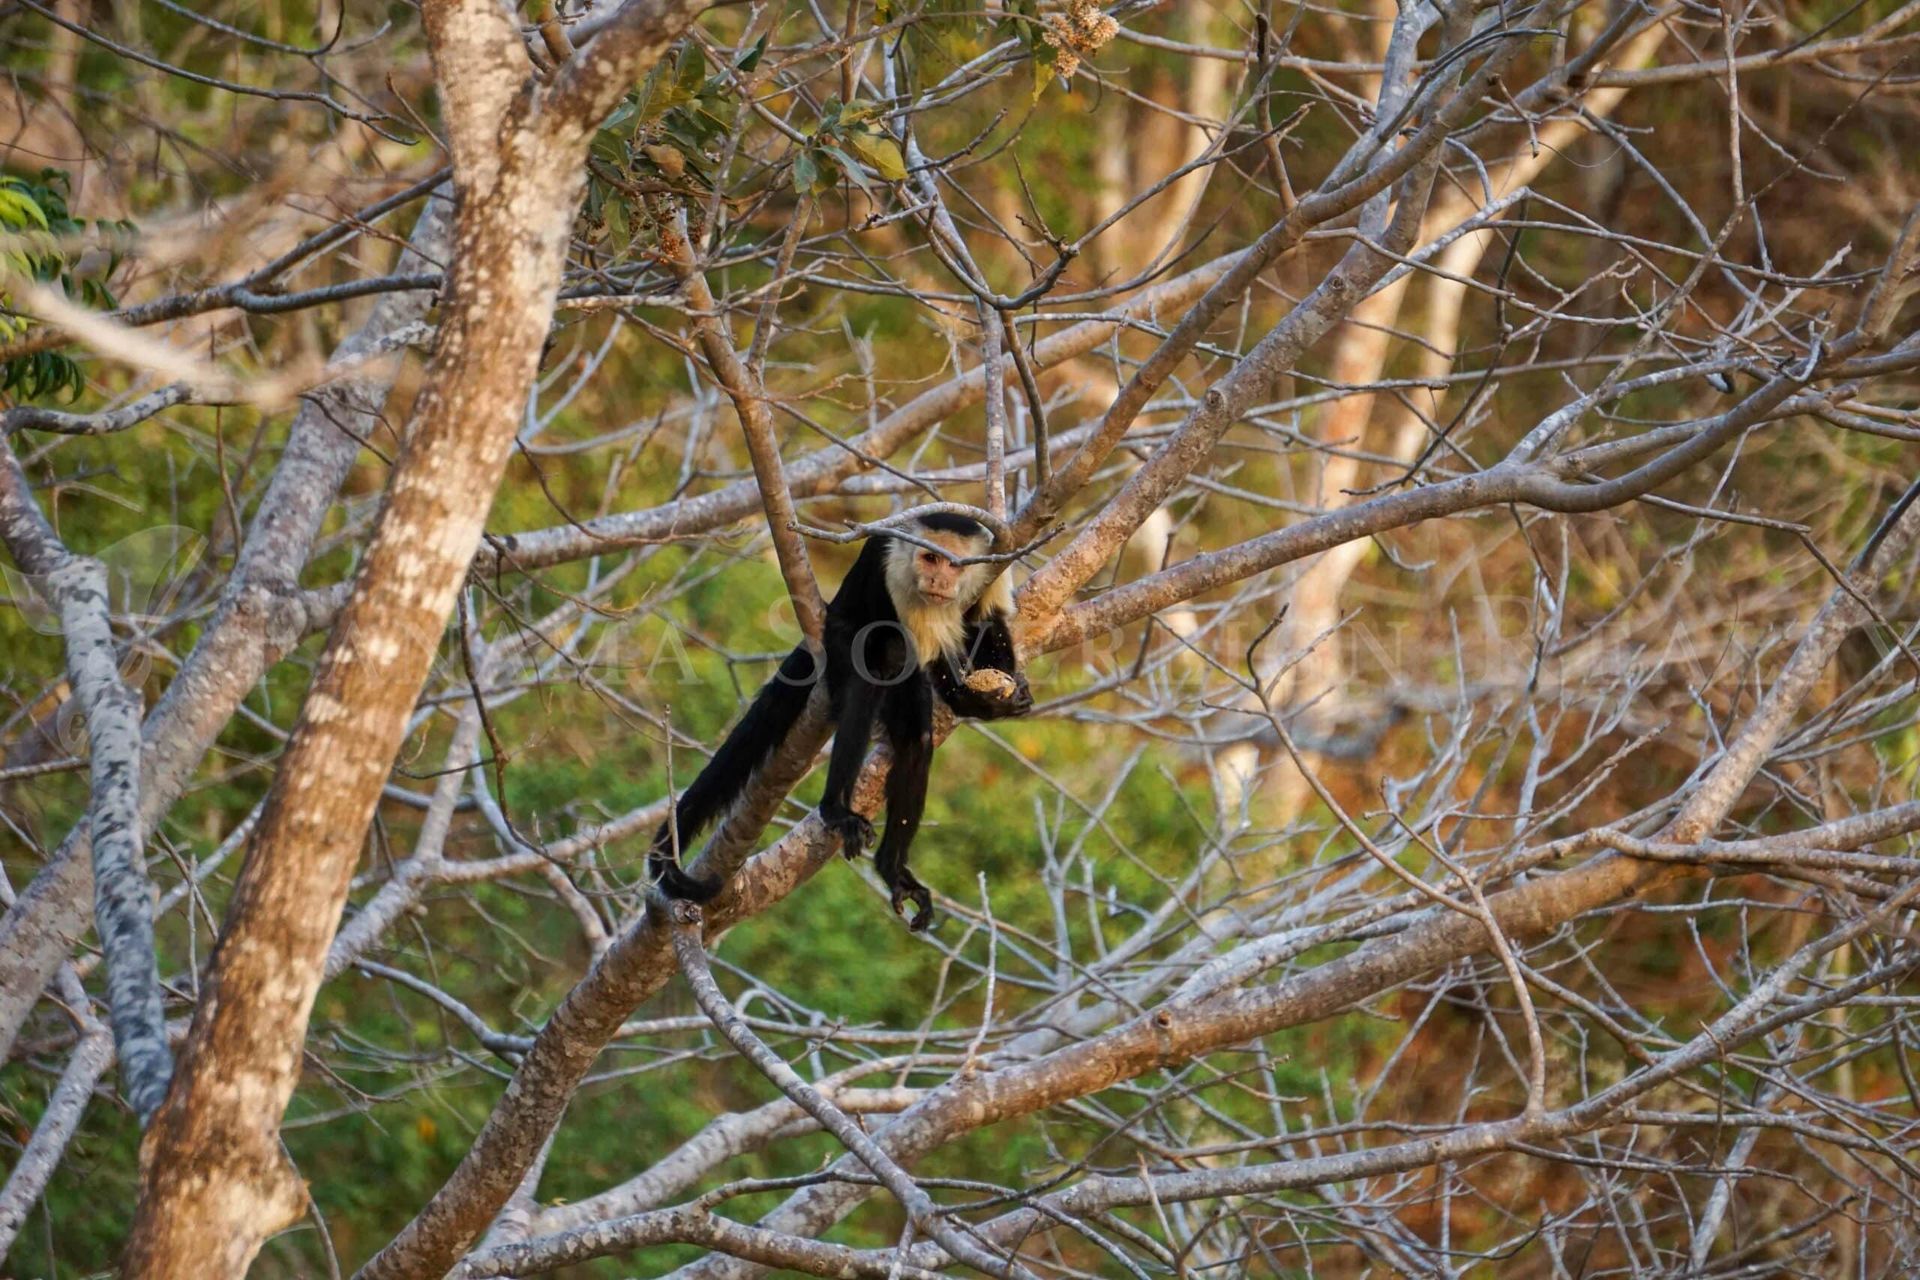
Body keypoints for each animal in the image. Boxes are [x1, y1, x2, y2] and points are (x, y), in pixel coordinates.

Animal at [648, 510, 1036, 932]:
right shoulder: (897, 577)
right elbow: (922, 652)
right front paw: (972, 699)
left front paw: (994, 696)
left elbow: (987, 622)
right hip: (835, 637)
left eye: (954, 564)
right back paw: (835, 809)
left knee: (915, 737)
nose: (939, 582)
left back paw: (892, 868)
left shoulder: (993, 568)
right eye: (930, 559)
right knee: (876, 668)